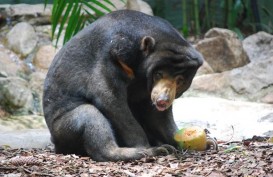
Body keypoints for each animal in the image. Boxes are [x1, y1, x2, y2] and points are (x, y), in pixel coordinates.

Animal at [43, 9, 202, 162]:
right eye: (158, 74)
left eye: (180, 80)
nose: (162, 100)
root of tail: (55, 142)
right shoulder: (110, 58)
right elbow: (110, 99)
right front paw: (148, 148)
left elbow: (158, 115)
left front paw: (180, 140)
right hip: (62, 127)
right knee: (89, 115)